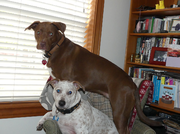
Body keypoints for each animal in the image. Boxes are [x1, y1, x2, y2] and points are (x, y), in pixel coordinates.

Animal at [25, 21, 162, 133]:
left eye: (51, 34)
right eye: (38, 32)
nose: (42, 44)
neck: (56, 48)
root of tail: (133, 85)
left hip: (119, 113)